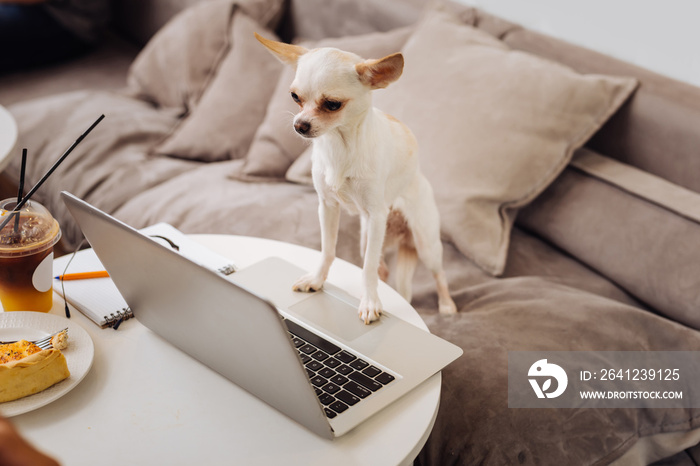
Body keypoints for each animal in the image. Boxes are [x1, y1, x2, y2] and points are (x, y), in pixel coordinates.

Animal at [258, 33, 460, 324]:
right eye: (295, 97)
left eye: (332, 104)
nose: (299, 125)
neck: (339, 144)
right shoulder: (328, 208)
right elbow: (328, 250)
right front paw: (317, 280)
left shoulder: (376, 216)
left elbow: (366, 268)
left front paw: (370, 303)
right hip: (370, 238)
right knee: (382, 269)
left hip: (425, 242)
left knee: (437, 273)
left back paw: (446, 305)